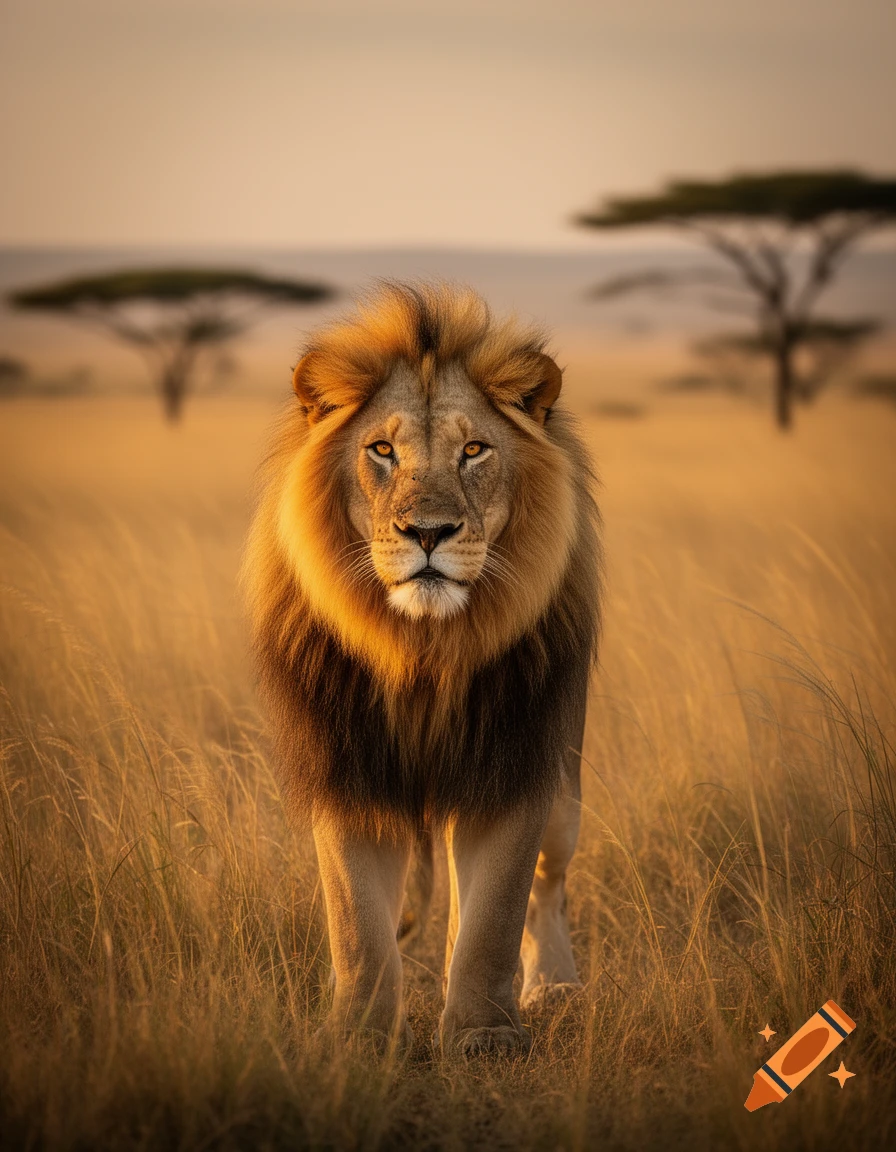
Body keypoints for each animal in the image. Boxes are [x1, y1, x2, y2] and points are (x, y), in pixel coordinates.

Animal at [243, 282, 602, 1057]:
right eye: (382, 449)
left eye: (474, 450)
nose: (429, 533)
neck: (423, 651)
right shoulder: (347, 770)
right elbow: (358, 927)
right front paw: (358, 1035)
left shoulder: (512, 765)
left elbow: (495, 918)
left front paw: (484, 1033)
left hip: (565, 784)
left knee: (546, 887)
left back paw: (553, 986)